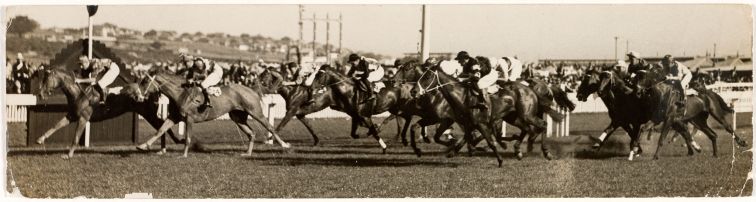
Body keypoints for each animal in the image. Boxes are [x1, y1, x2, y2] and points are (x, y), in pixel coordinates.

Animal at [36, 68, 183, 158]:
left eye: (46, 80)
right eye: (42, 79)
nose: (40, 94)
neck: (79, 93)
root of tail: (152, 91)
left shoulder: (83, 118)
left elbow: (76, 137)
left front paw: (69, 155)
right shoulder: (71, 115)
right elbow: (56, 126)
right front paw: (40, 139)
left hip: (149, 113)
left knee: (163, 126)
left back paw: (165, 146)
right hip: (148, 114)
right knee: (162, 126)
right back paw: (163, 147)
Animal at [127, 68, 290, 158]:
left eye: (144, 82)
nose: (137, 96)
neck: (180, 94)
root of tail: (252, 89)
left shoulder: (189, 119)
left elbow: (187, 138)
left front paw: (184, 155)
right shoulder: (174, 117)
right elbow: (160, 130)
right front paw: (143, 146)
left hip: (256, 112)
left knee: (270, 127)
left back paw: (285, 145)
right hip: (238, 117)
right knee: (252, 133)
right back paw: (247, 153)